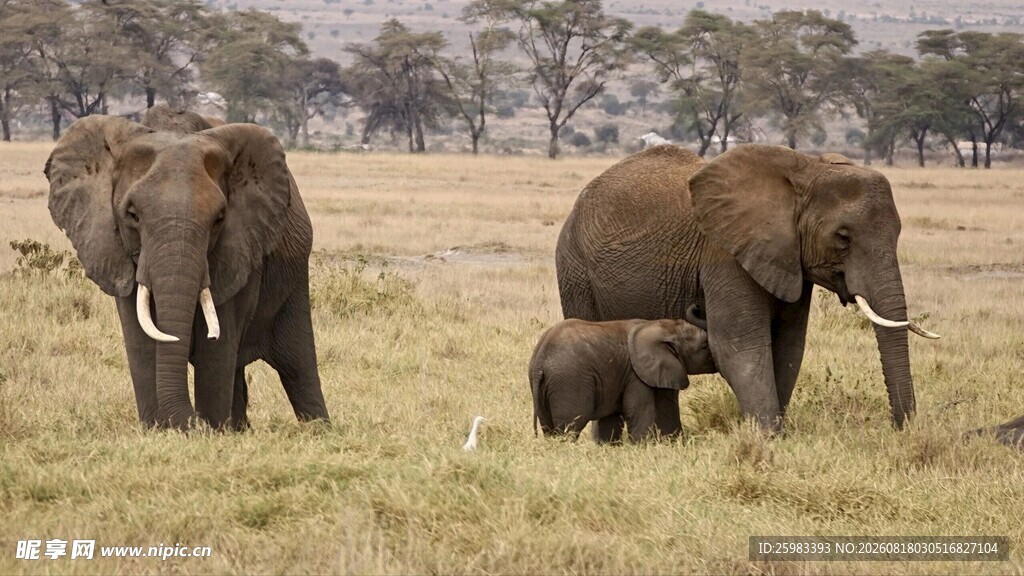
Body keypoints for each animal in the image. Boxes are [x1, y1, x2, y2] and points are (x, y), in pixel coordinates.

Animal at [45, 114, 329, 430]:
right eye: (132, 215)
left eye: (219, 219)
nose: (195, 422)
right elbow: (141, 342)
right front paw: (157, 429)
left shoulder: (240, 250)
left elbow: (216, 351)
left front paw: (211, 428)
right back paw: (240, 430)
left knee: (297, 365)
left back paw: (317, 431)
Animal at [530, 317, 716, 442]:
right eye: (704, 346)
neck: (661, 325)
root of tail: (540, 359)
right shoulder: (635, 374)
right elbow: (639, 410)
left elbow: (610, 421)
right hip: (569, 381)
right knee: (570, 427)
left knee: (549, 429)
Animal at [556, 144, 939, 439]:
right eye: (843, 237)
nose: (899, 430)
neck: (806, 170)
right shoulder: (725, 255)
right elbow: (741, 347)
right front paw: (771, 439)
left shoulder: (789, 261)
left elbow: (787, 348)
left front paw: (775, 435)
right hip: (574, 267)